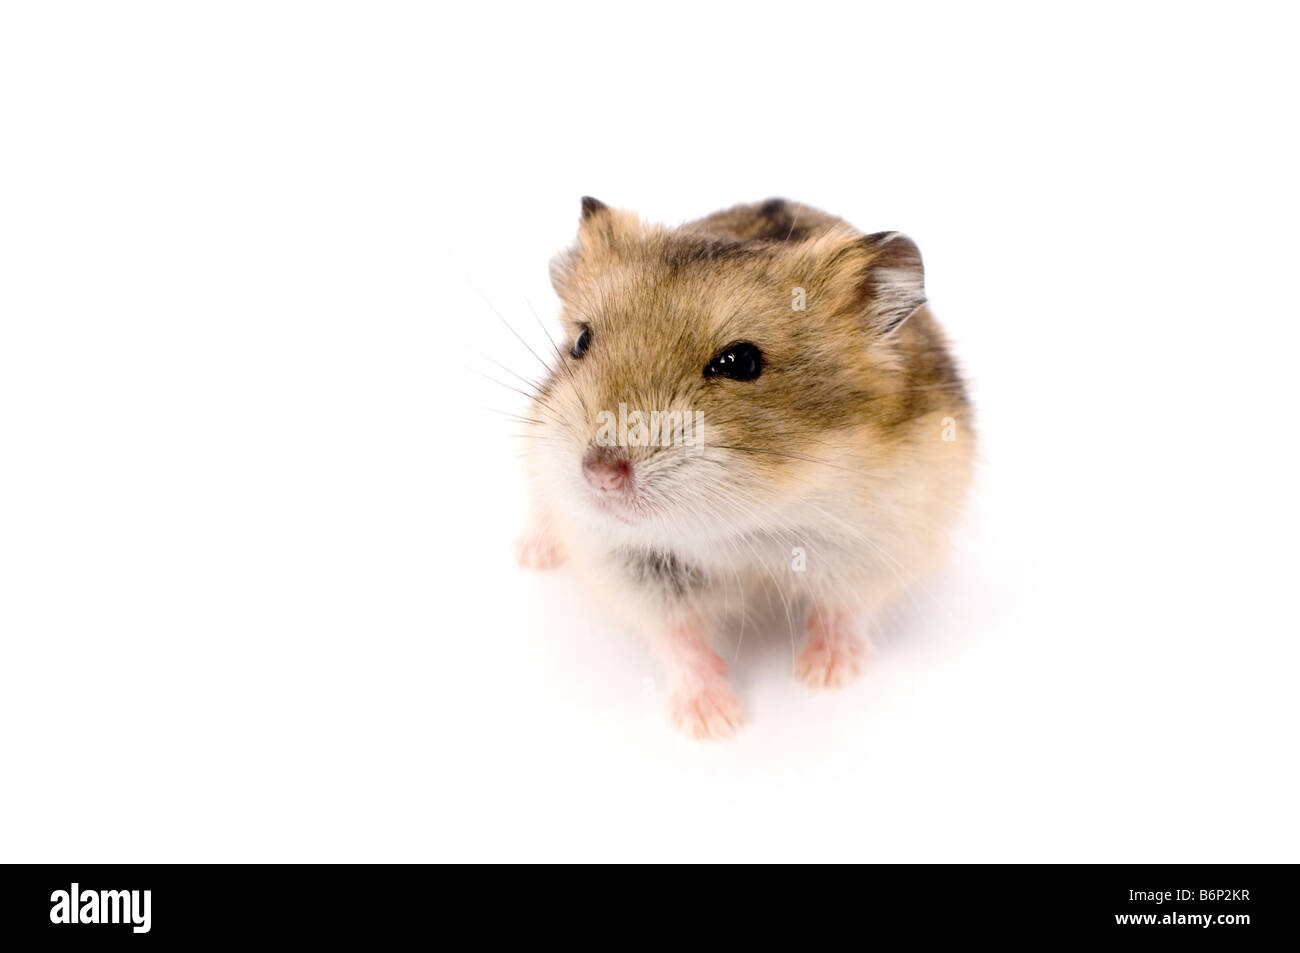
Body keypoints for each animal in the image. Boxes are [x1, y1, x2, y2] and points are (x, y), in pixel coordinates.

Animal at [516, 197, 973, 739]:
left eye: (740, 362)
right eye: (582, 341)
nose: (600, 475)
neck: (751, 522)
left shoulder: (885, 541)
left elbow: (844, 609)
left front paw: (822, 677)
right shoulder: (629, 562)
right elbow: (678, 635)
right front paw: (715, 724)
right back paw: (532, 554)